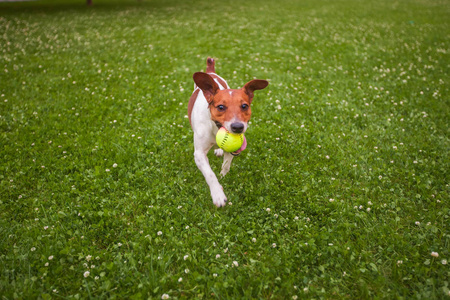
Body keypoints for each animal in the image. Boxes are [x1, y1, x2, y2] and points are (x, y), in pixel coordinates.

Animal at [186, 57, 268, 207]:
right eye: (221, 107)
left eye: (244, 106)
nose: (238, 127)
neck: (214, 128)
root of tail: (210, 71)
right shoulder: (199, 154)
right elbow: (210, 174)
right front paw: (218, 194)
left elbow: (226, 165)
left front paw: (223, 176)